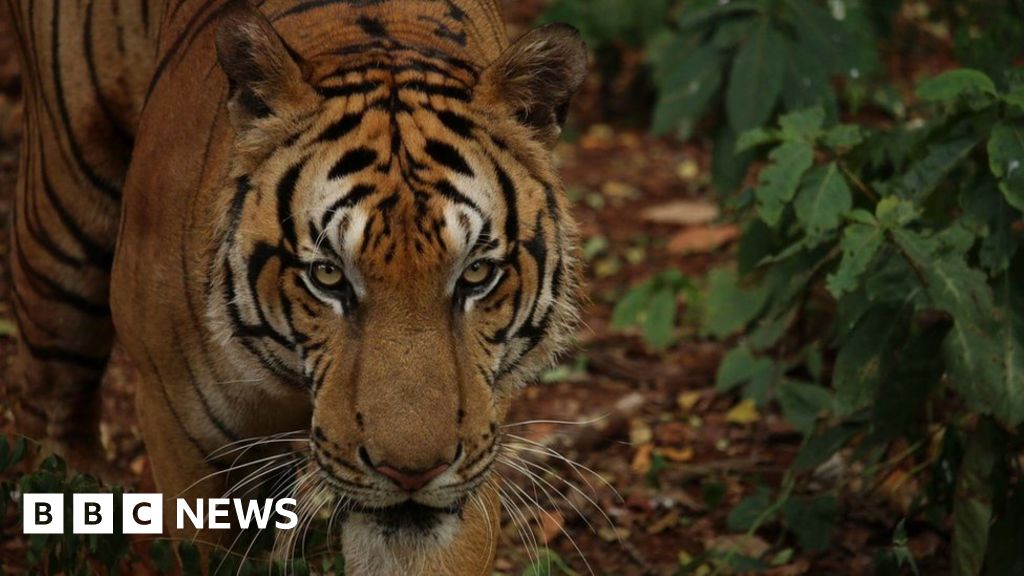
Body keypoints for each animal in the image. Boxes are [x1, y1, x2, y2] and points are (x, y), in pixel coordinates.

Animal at [4, 0, 589, 569]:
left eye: (476, 273)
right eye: (328, 275)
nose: (412, 473)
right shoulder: (181, 433)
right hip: (64, 214)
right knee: (50, 414)